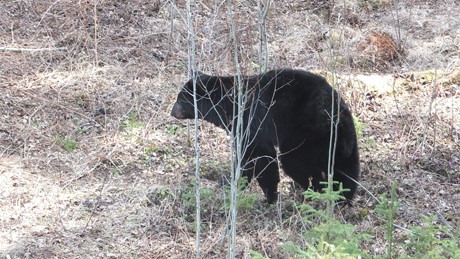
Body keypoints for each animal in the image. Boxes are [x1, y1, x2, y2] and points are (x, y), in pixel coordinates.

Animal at [171, 69, 362, 205]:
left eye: (180, 99)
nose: (172, 112)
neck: (229, 103)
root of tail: (336, 112)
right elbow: (246, 159)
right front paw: (231, 181)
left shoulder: (250, 120)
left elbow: (261, 155)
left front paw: (269, 197)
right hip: (341, 139)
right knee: (346, 167)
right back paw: (343, 197)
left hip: (304, 133)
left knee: (295, 163)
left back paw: (313, 191)